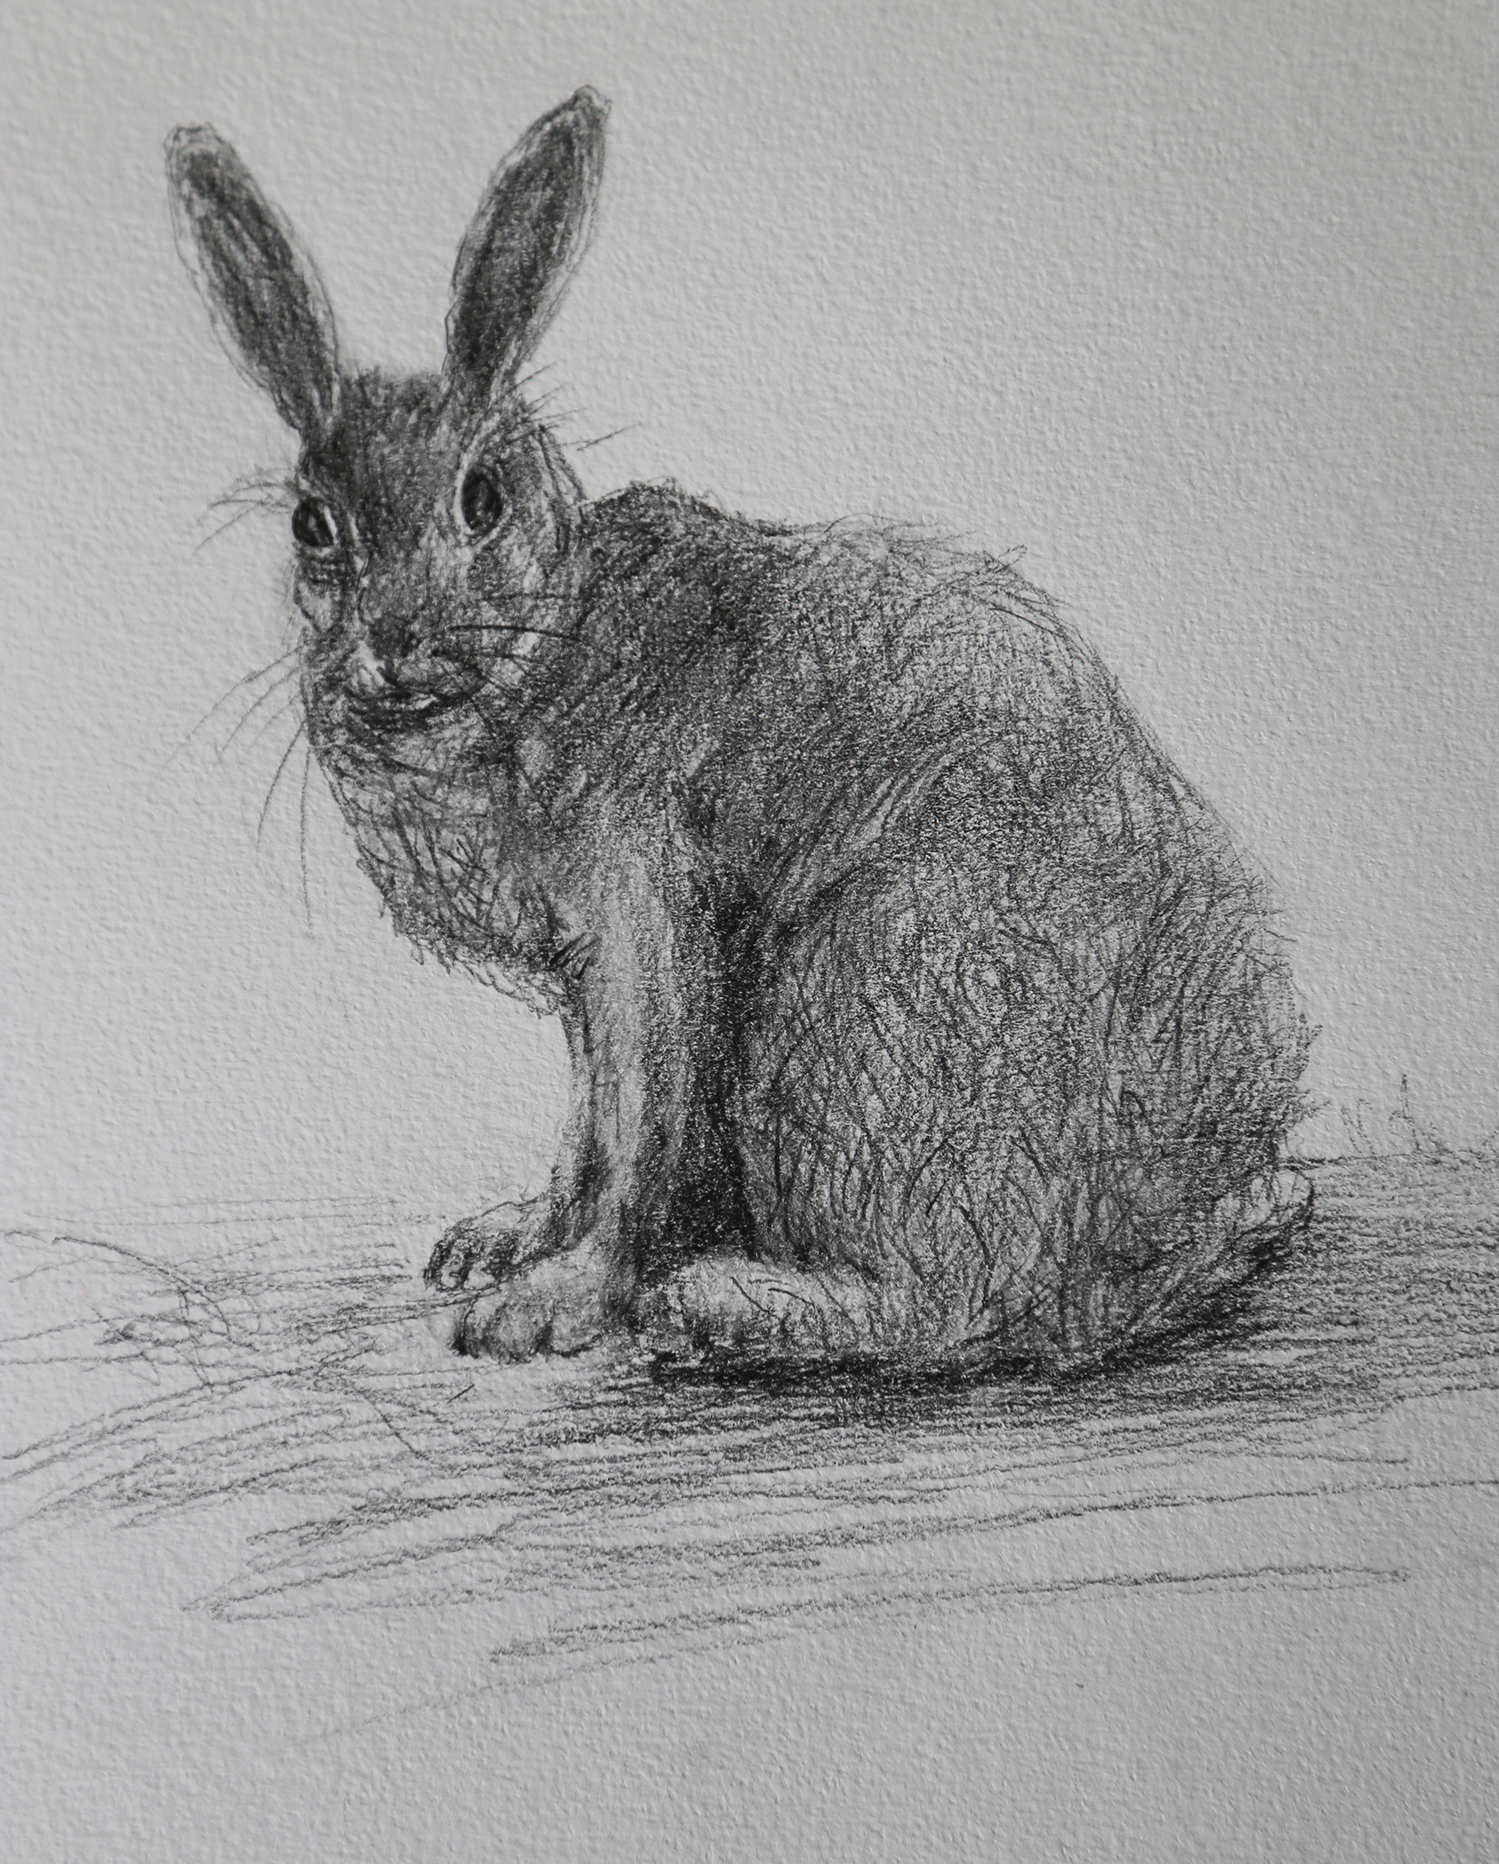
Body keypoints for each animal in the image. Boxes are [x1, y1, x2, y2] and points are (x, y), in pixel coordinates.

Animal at [166, 88, 1310, 1372]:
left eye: (482, 499)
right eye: (312, 526)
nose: (395, 640)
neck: (543, 647)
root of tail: (1149, 1248)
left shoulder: (644, 912)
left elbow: (641, 1128)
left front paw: (554, 1301)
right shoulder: (586, 981)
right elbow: (589, 1126)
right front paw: (506, 1240)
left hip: (857, 1016)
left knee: (946, 1307)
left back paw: (719, 1301)